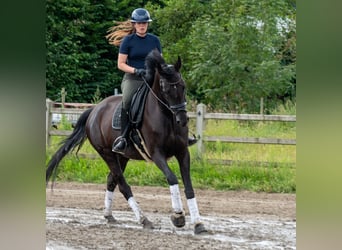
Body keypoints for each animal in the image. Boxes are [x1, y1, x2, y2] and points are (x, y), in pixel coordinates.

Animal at [46, 48, 207, 234]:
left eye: (183, 86)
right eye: (165, 89)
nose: (182, 119)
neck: (167, 118)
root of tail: (94, 110)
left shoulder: (182, 152)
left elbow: (189, 185)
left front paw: (198, 224)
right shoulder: (156, 154)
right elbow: (172, 178)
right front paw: (178, 216)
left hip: (122, 156)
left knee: (111, 180)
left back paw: (109, 216)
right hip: (107, 154)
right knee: (122, 185)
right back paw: (144, 220)